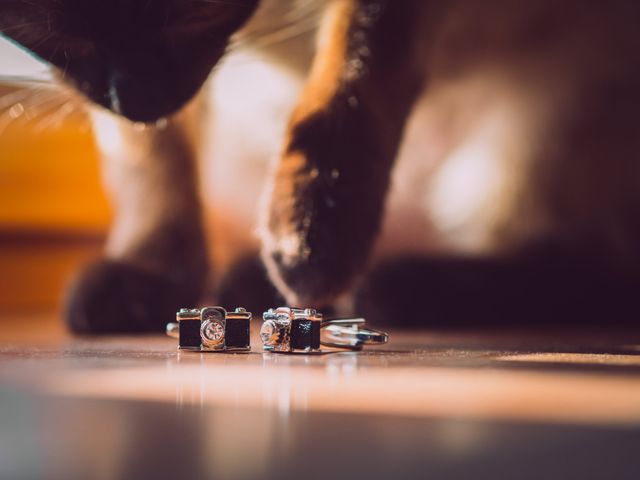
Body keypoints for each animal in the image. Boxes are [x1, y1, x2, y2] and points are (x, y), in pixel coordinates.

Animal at [3, 0, 640, 332]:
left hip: (556, 104)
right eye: (60, 45)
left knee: (592, 270)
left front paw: (309, 237)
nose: (134, 99)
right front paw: (149, 275)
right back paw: (254, 279)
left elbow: (349, 80)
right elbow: (151, 165)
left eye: (187, 20)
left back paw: (398, 286)